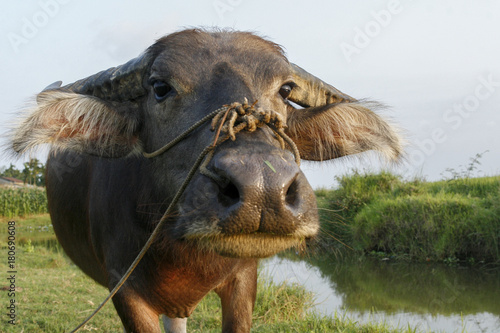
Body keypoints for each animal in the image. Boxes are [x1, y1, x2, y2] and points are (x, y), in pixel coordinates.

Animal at [11, 29, 402, 332]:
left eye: (286, 90)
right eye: (160, 87)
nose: (262, 189)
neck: (182, 250)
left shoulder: (244, 277)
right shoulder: (123, 286)